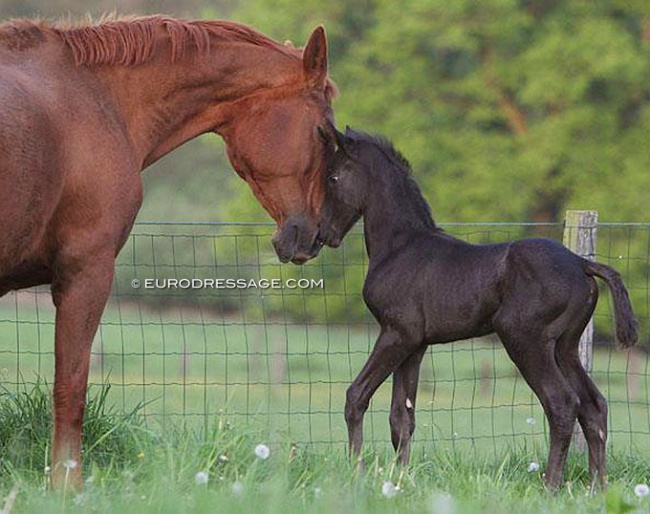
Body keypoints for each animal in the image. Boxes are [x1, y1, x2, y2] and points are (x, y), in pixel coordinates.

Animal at [316, 126, 636, 490]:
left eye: (333, 177)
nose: (323, 234)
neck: (401, 246)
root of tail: (582, 264)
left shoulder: (396, 333)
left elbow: (356, 396)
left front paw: (355, 471)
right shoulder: (414, 345)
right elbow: (402, 416)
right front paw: (401, 478)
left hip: (524, 339)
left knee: (562, 403)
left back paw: (551, 485)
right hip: (565, 347)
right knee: (594, 406)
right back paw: (598, 488)